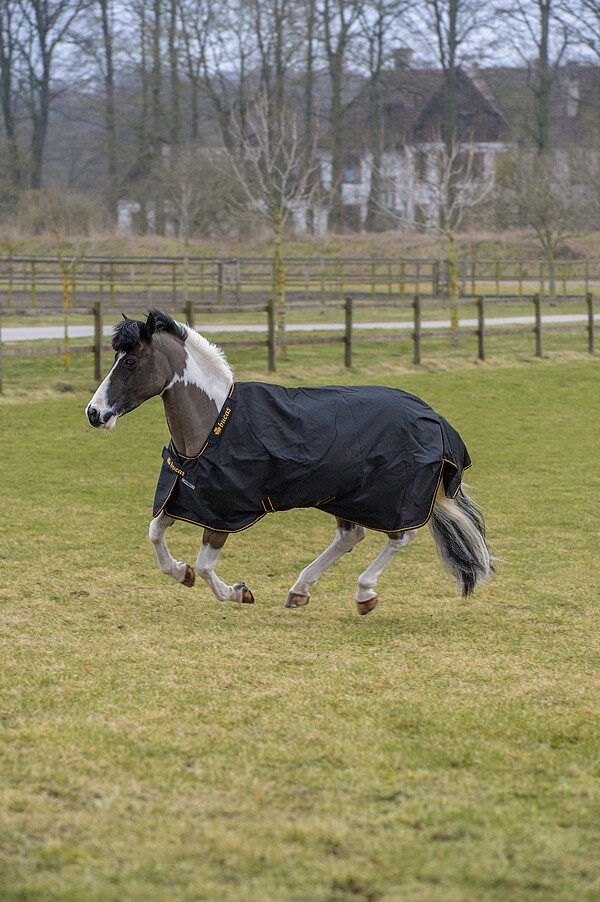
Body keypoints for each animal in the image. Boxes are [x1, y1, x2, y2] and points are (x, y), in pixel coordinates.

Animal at [85, 309, 492, 614]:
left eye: (131, 361)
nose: (93, 413)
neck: (213, 424)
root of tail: (434, 417)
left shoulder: (223, 512)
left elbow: (204, 565)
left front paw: (238, 592)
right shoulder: (184, 498)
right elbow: (156, 535)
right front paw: (181, 572)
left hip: (388, 499)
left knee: (400, 536)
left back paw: (364, 593)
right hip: (344, 496)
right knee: (351, 535)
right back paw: (300, 590)